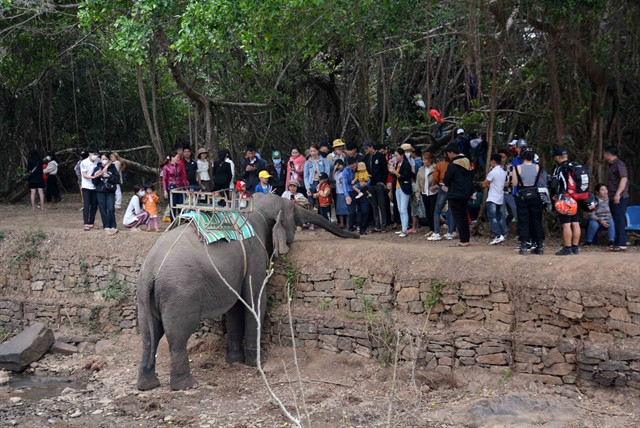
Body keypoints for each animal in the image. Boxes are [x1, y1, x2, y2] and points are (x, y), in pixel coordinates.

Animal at [136, 192, 360, 390]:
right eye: (294, 215)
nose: (357, 234)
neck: (254, 207)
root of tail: (149, 271)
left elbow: (236, 306)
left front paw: (234, 360)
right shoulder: (256, 255)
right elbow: (255, 301)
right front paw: (256, 363)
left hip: (146, 297)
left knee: (148, 335)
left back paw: (147, 385)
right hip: (179, 294)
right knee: (177, 336)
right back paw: (186, 385)